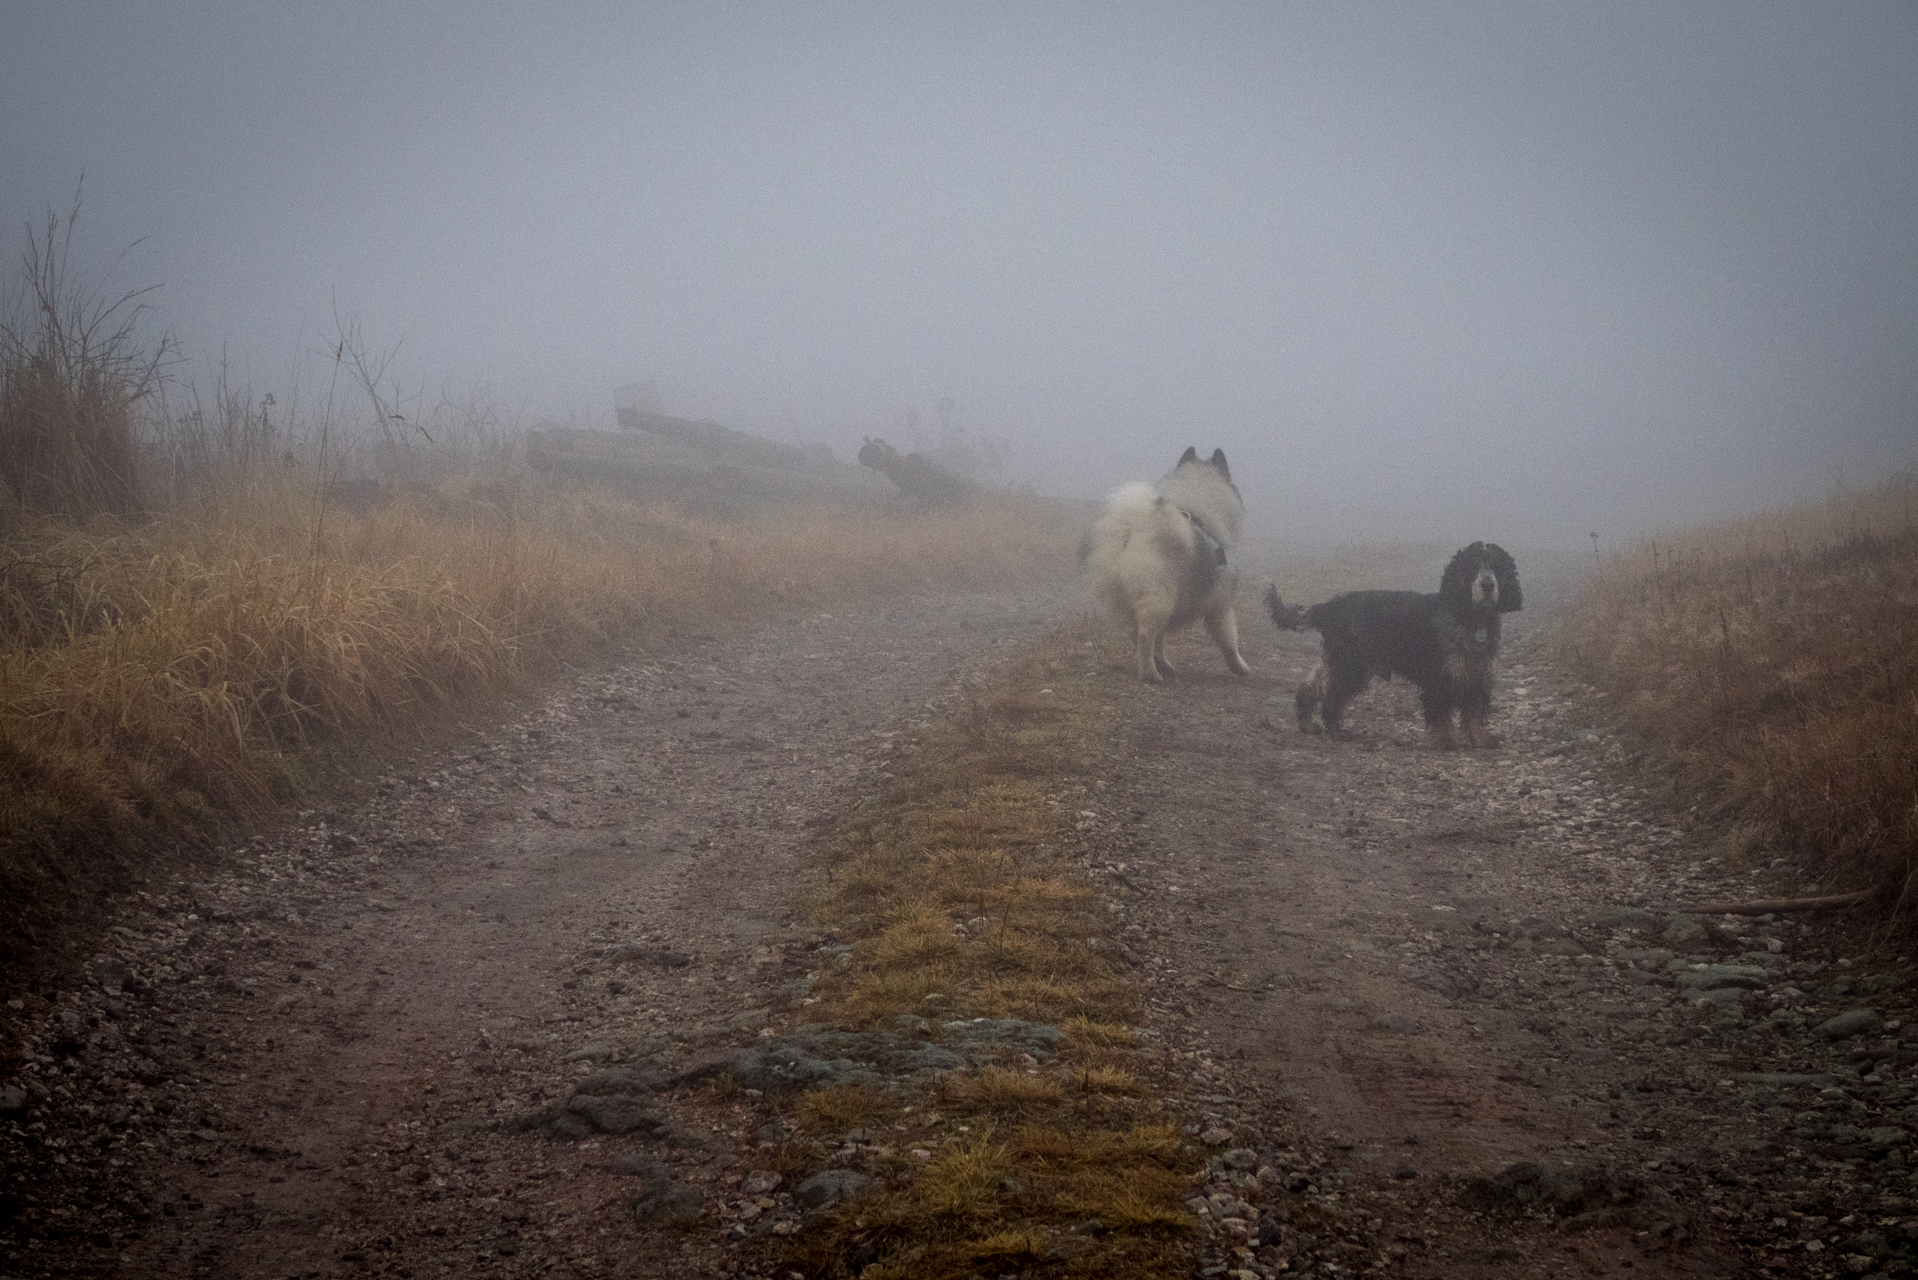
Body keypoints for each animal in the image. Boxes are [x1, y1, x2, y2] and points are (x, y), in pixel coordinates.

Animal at [1265, 545, 1519, 744]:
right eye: (1472, 566)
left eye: (1497, 566)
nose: (1488, 585)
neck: (1472, 618)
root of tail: (1329, 607)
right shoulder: (1439, 676)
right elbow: (1440, 711)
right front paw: (1445, 740)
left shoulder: (1479, 675)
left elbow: (1475, 713)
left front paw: (1482, 739)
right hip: (1351, 666)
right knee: (1331, 697)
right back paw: (1336, 731)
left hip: (1337, 659)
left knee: (1310, 687)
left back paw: (1308, 724)